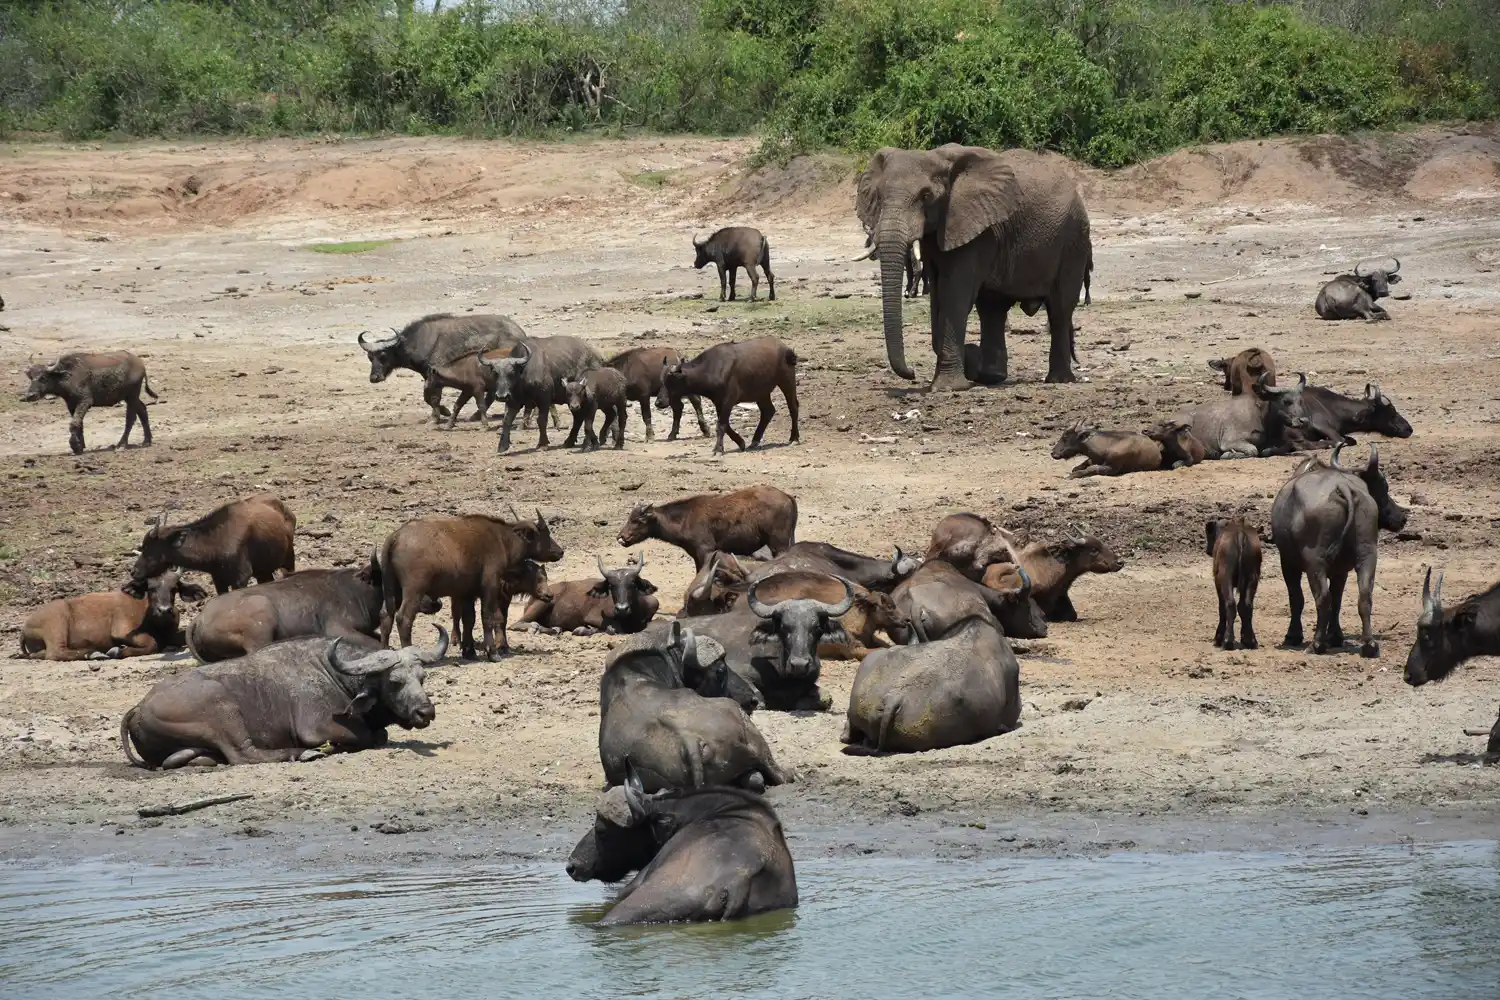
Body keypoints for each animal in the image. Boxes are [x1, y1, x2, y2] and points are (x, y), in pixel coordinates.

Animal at [855, 144, 1093, 390]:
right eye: (878, 196)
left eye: (926, 196)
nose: (911, 372)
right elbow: (939, 296)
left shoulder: (975, 228)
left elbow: (954, 295)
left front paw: (948, 387)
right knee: (992, 308)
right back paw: (992, 376)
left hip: (1074, 240)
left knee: (1060, 308)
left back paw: (1059, 379)